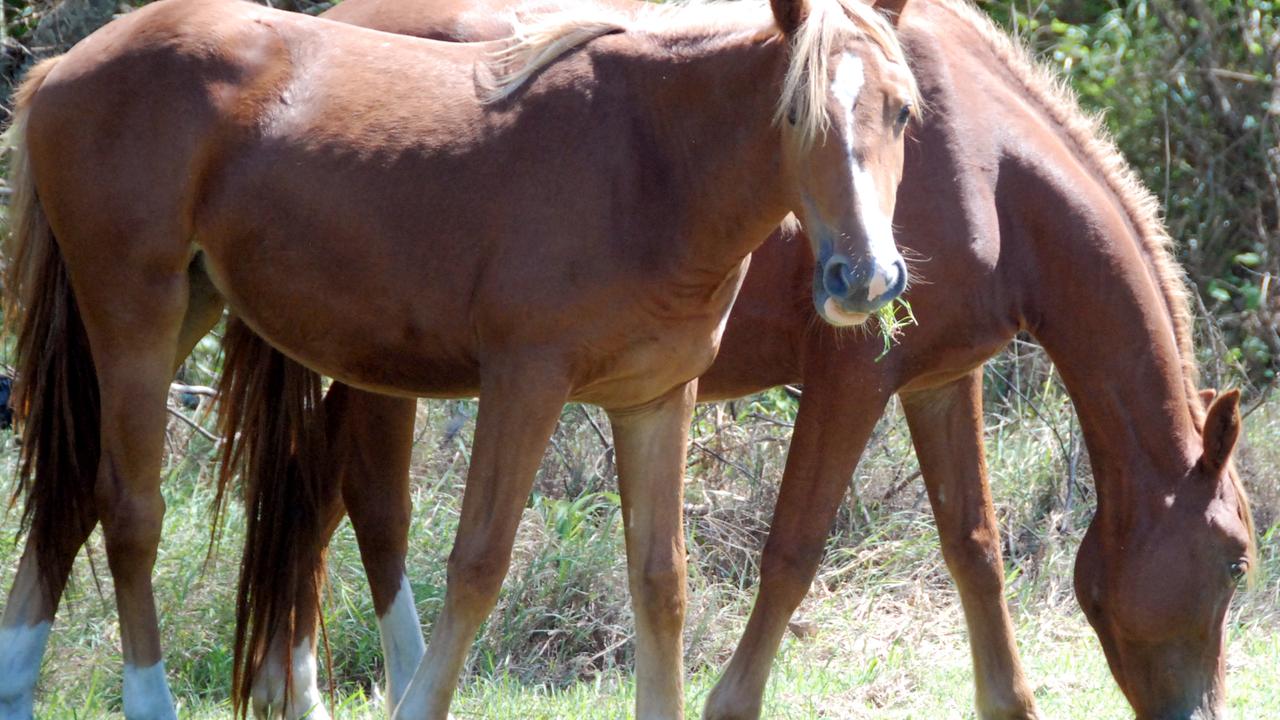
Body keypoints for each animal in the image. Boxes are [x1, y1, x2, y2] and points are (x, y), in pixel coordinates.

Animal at [0, 0, 921, 712]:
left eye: (903, 112)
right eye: (796, 114)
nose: (865, 276)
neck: (646, 163)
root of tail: (62, 70)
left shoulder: (656, 400)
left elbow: (662, 583)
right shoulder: (525, 385)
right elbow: (477, 564)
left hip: (185, 307)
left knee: (70, 495)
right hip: (135, 314)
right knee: (130, 510)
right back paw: (146, 698)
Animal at [232, 1, 1259, 717]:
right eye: (1239, 564)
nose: (1196, 714)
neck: (984, 162)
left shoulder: (940, 381)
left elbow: (974, 548)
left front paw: (1008, 701)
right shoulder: (855, 378)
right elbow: (795, 550)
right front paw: (728, 700)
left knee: (315, 497)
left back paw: (296, 687)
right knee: (370, 503)